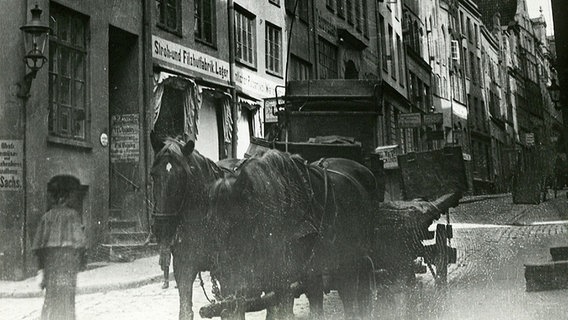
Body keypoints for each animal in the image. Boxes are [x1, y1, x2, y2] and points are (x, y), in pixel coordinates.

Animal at [149, 133, 240, 320]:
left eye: (182, 177)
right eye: (153, 174)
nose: (162, 228)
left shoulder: (226, 274)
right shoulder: (183, 268)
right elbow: (185, 310)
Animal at [207, 150, 378, 320]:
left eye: (238, 222)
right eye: (213, 226)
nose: (224, 284)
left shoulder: (305, 274)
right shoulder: (278, 279)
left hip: (354, 259)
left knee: (354, 293)